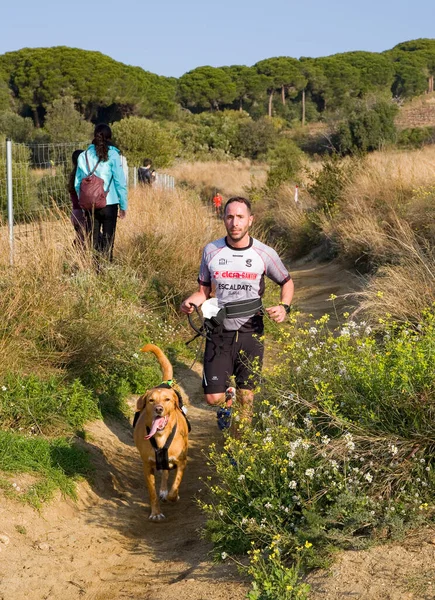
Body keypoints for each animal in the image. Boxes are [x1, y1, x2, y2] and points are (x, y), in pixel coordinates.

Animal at [133, 342, 187, 520]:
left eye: (167, 399)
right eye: (151, 400)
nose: (159, 409)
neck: (161, 435)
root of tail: (166, 383)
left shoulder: (182, 461)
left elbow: (175, 486)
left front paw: (173, 496)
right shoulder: (147, 466)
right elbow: (152, 493)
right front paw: (155, 513)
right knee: (164, 472)